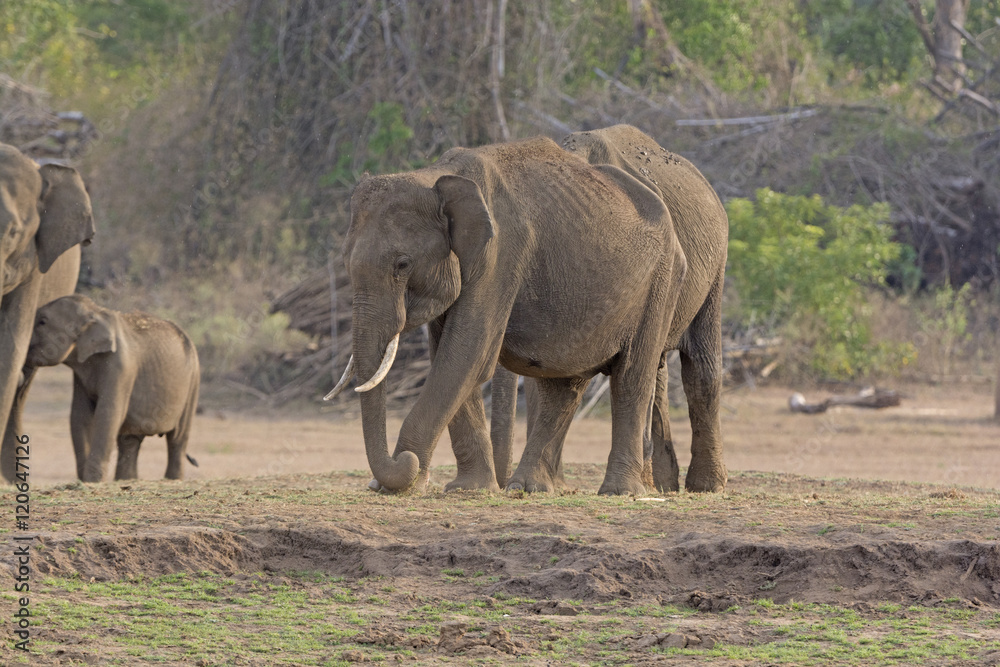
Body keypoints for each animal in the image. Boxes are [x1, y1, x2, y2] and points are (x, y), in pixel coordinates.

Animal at [25, 295, 200, 482]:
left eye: (42, 322)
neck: (95, 312)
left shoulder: (121, 366)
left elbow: (108, 412)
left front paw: (93, 481)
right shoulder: (80, 373)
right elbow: (80, 415)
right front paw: (86, 481)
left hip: (193, 381)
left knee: (177, 439)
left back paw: (172, 480)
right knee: (130, 440)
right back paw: (127, 480)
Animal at [326, 135, 694, 495]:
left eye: (402, 265)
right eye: (343, 261)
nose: (397, 464)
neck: (435, 177)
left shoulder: (501, 253)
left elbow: (467, 354)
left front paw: (409, 477)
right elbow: (451, 356)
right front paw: (466, 490)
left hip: (661, 283)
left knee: (632, 376)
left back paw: (620, 493)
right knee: (566, 386)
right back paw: (526, 487)